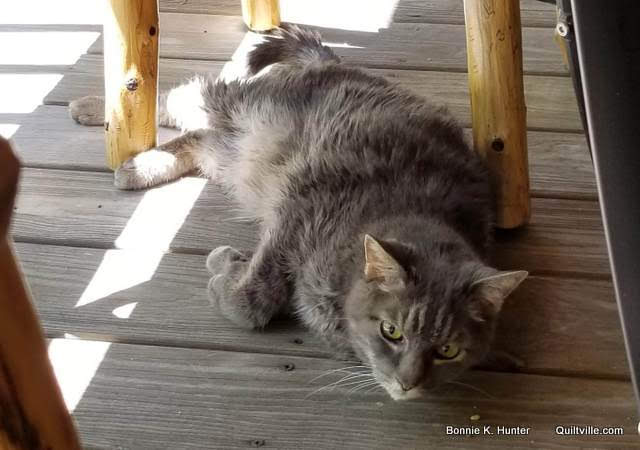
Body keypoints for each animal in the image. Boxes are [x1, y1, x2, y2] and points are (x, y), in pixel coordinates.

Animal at [69, 25, 527, 401]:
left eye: (447, 350)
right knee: (186, 95)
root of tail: (336, 63)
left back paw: (142, 165)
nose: (409, 383)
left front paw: (231, 263)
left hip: (235, 155)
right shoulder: (296, 213)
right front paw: (226, 273)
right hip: (238, 112)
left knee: (199, 138)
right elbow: (252, 299)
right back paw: (98, 111)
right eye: (391, 331)